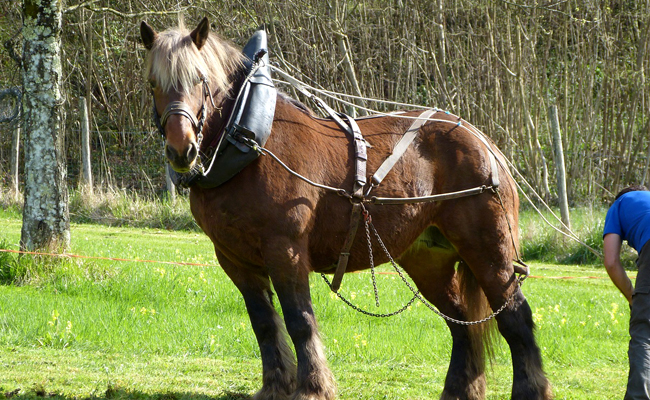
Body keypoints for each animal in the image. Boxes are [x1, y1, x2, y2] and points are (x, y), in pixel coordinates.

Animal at [140, 17, 552, 400]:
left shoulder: (285, 250)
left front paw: (312, 387)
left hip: (489, 250)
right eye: (153, 83)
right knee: (461, 321)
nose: (182, 150)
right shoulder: (234, 259)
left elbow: (299, 320)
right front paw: (275, 386)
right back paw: (459, 389)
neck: (250, 141)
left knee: (515, 316)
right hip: (428, 259)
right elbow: (264, 324)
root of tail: (484, 142)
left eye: (199, 79)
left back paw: (530, 389)